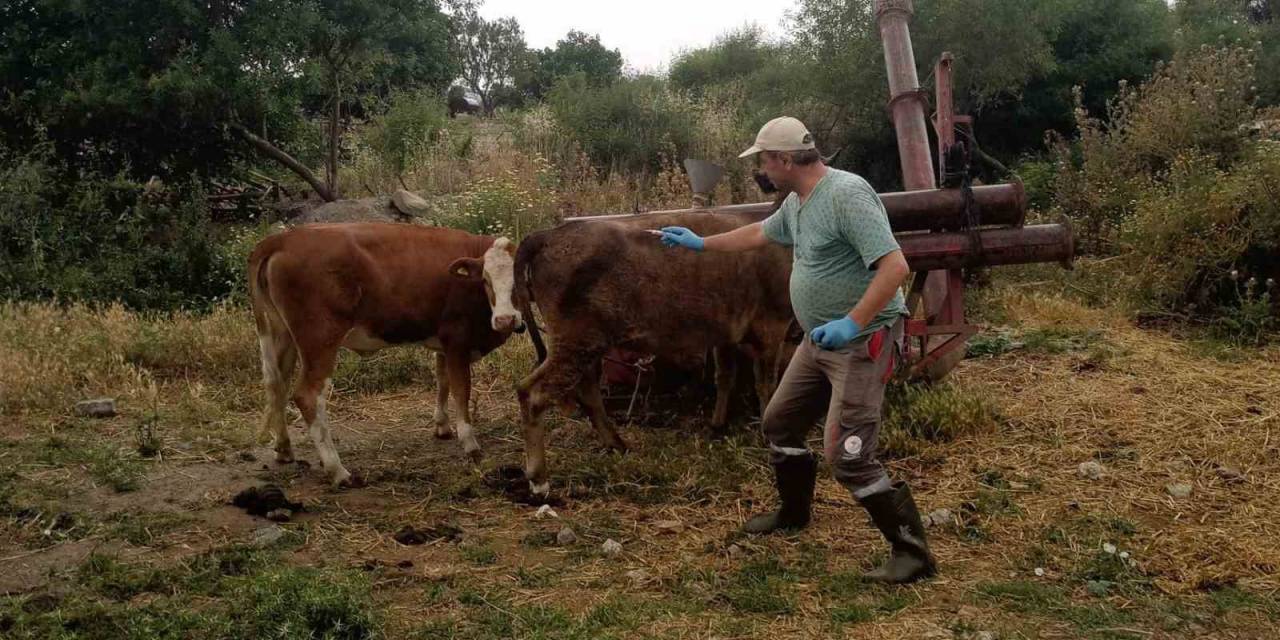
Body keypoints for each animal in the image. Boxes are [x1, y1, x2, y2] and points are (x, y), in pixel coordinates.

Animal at [247, 222, 522, 486]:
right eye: (486, 280)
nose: (505, 320)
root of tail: (282, 239)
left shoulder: (443, 342)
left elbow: (442, 381)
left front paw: (442, 426)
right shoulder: (457, 340)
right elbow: (461, 390)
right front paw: (470, 443)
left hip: (282, 334)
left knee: (277, 384)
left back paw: (284, 449)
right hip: (320, 340)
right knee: (308, 395)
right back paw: (338, 471)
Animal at [509, 209, 788, 494]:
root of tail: (548, 234)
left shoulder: (725, 334)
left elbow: (725, 377)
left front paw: (718, 425)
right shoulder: (773, 324)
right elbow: (767, 385)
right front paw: (767, 436)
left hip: (585, 344)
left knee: (588, 391)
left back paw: (617, 444)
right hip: (575, 342)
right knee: (532, 393)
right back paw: (539, 477)